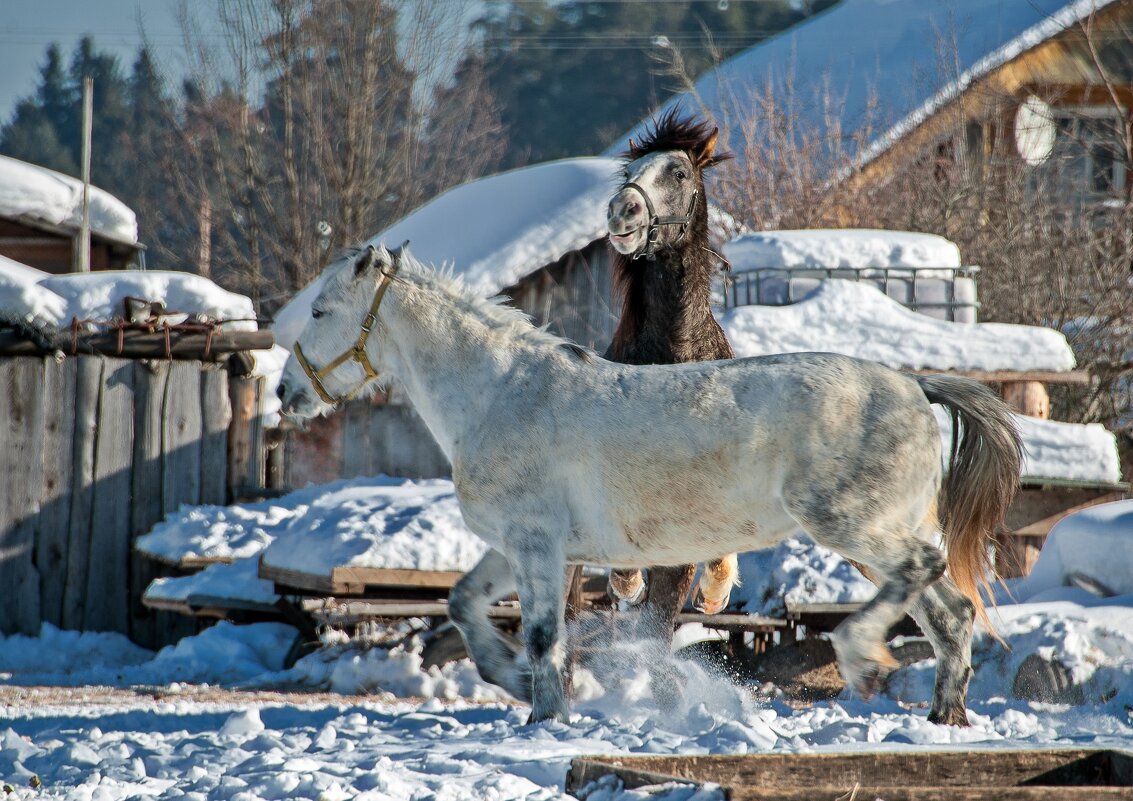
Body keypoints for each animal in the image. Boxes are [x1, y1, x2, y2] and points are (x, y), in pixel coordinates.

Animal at [278, 244, 1024, 725]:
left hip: (850, 524)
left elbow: (544, 635)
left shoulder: (538, 544)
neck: (498, 392)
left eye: (319, 312)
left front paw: (543, 717)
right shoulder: (526, 547)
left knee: (925, 577)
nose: (287, 394)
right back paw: (943, 717)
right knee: (951, 612)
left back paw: (861, 658)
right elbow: (465, 604)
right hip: (873, 537)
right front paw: (516, 685)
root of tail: (913, 385)